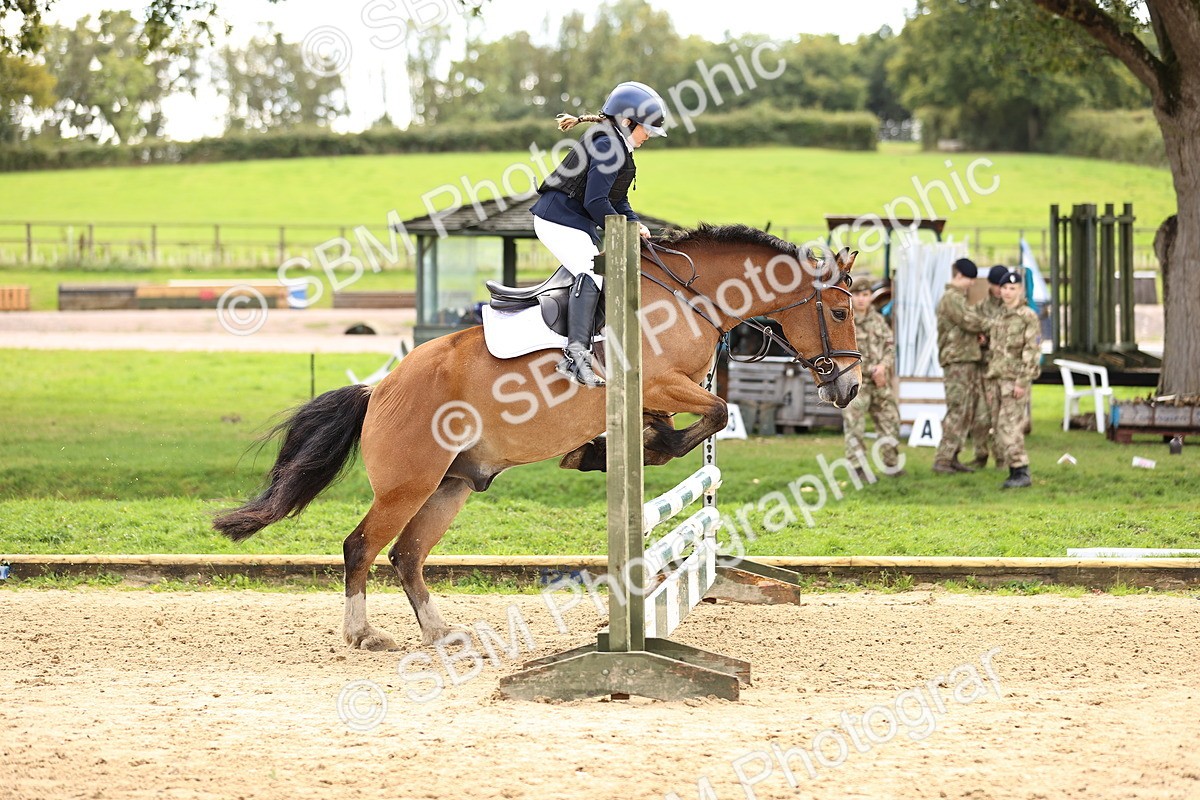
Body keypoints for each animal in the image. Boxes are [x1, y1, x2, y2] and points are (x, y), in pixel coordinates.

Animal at [214, 224, 861, 650]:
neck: (689, 297)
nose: (850, 387)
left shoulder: (664, 391)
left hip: (451, 485)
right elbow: (719, 411)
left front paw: (607, 449)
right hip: (409, 484)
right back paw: (363, 633)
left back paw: (442, 632)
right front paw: (627, 450)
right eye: (839, 313)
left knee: (406, 556)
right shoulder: (661, 382)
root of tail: (379, 389)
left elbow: (699, 419)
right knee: (361, 547)